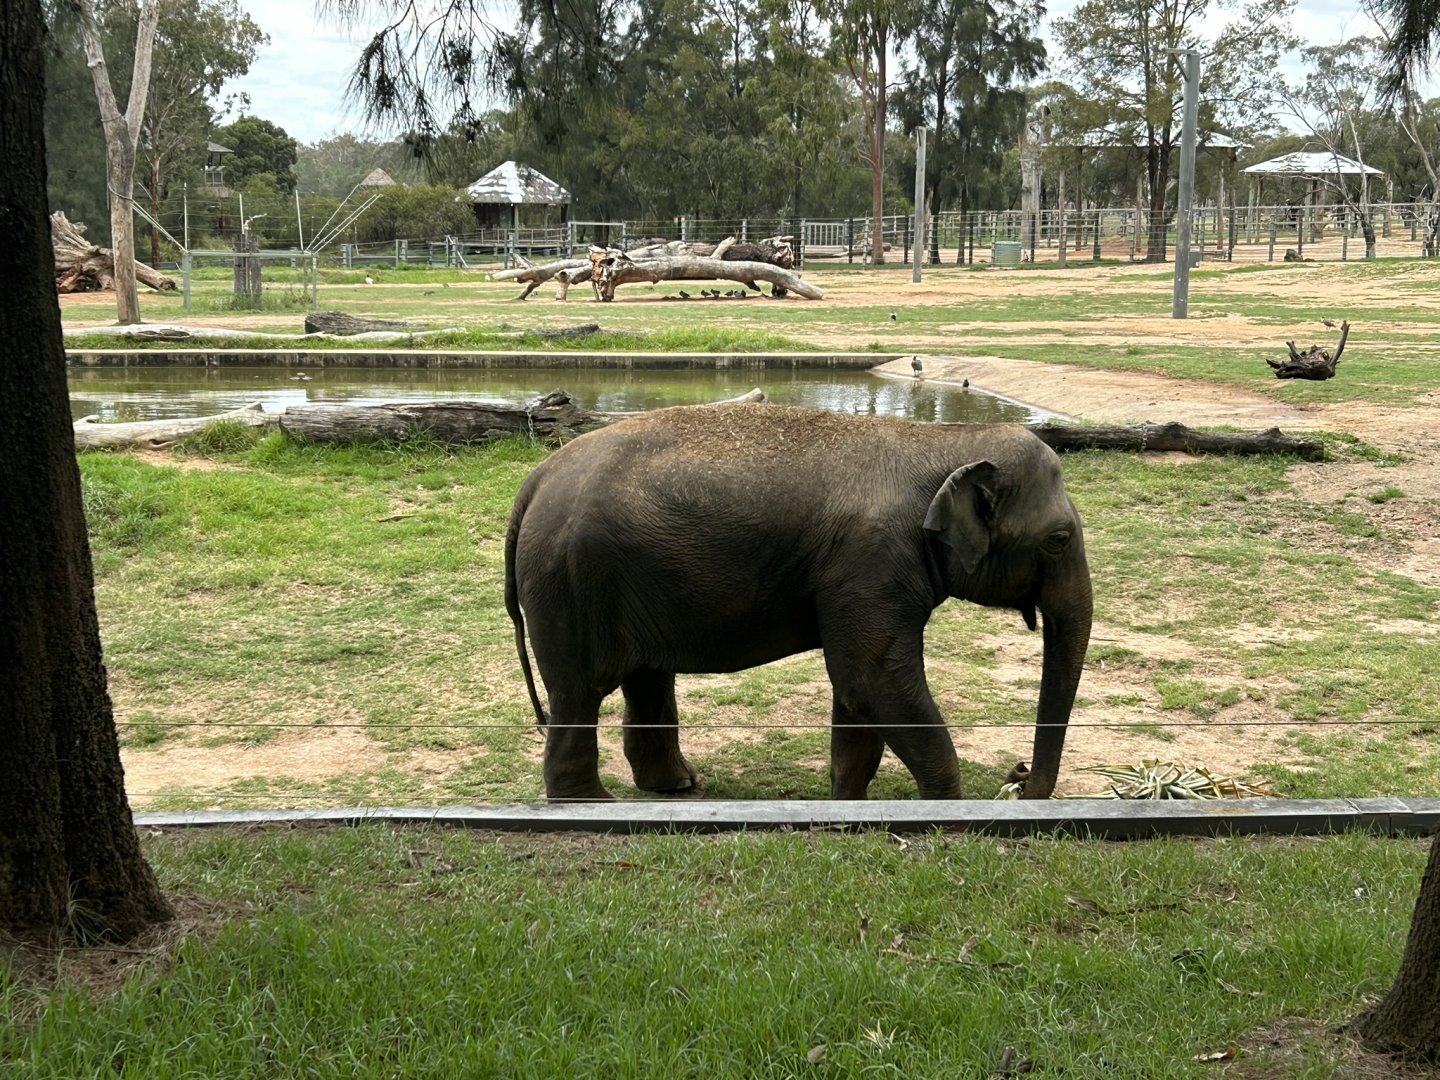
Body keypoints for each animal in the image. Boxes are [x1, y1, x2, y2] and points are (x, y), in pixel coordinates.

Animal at [503, 402, 1092, 801]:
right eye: (1059, 540)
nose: (1017, 775)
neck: (942, 441)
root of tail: (533, 481)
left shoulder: (862, 578)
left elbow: (858, 698)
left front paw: (848, 805)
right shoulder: (871, 561)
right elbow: (870, 681)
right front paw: (945, 810)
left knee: (645, 678)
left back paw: (677, 786)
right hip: (571, 583)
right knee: (580, 691)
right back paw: (590, 802)